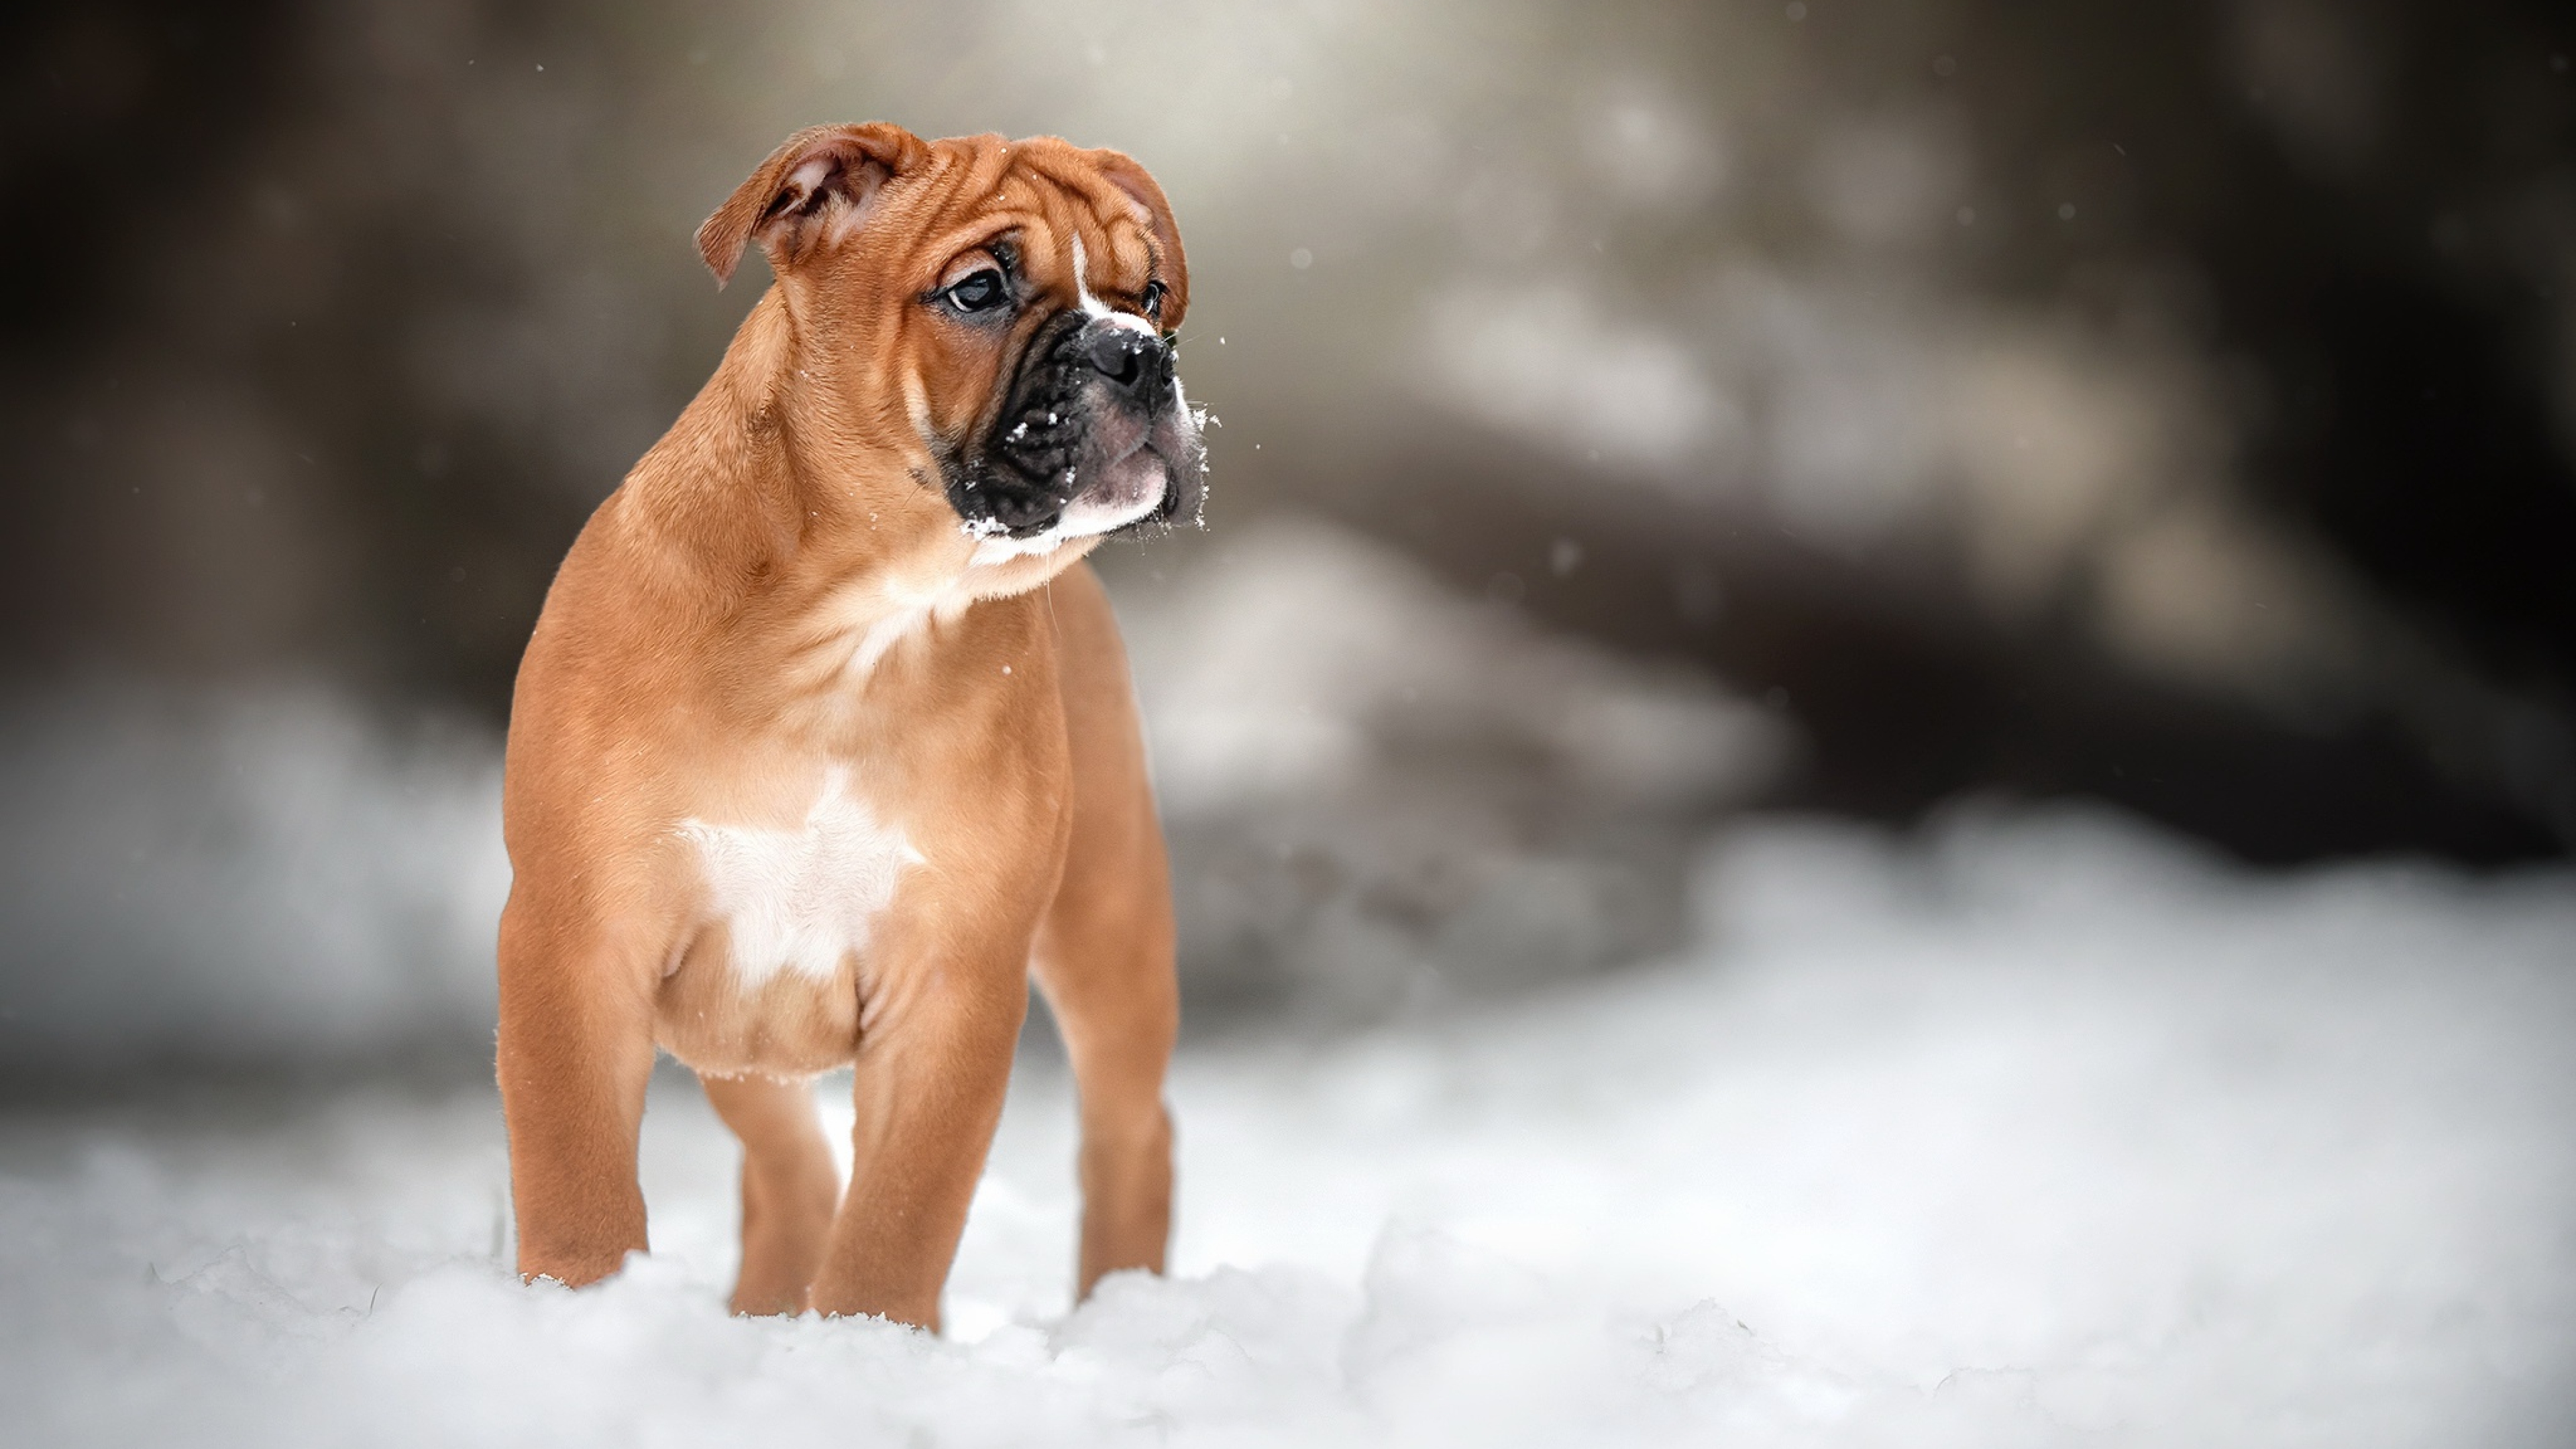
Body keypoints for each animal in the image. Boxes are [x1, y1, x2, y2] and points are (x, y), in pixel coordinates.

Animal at [497, 118, 1200, 1330]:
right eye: (978, 289)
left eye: (1151, 294)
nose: (1140, 355)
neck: (856, 629)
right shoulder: (577, 940)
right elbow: (575, 1168)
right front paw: (582, 1314)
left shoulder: (952, 981)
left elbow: (901, 1217)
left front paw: (868, 1342)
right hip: (730, 1022)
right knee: (791, 1164)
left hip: (1111, 920)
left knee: (1129, 1134)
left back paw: (1124, 1312)